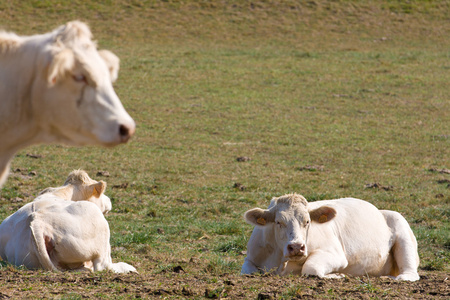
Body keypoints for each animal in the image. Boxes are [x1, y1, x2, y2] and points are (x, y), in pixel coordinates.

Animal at [0, 170, 137, 274]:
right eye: (100, 193)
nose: (109, 200)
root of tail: (37, 221)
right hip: (101, 236)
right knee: (103, 266)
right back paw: (129, 268)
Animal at [241, 195, 420, 282]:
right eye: (279, 222)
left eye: (307, 221)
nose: (297, 247)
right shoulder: (251, 257)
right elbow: (248, 271)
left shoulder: (335, 254)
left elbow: (311, 268)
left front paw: (336, 275)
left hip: (401, 228)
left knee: (410, 273)